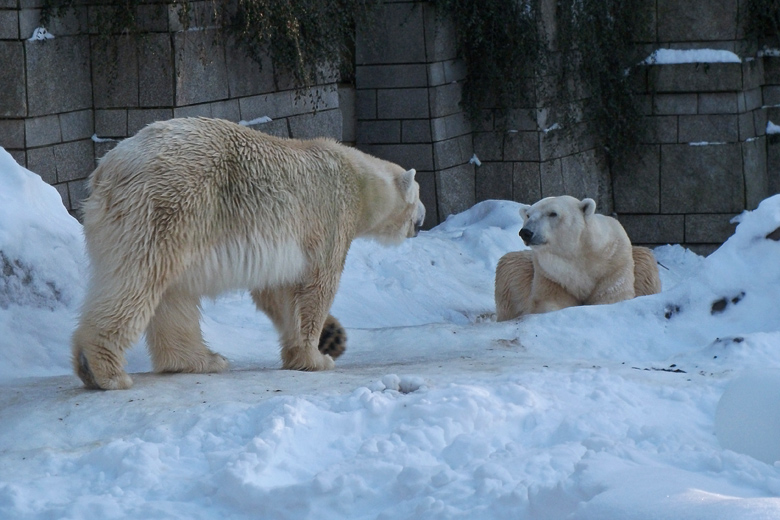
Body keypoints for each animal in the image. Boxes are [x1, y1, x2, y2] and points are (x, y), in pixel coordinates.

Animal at [73, 116, 426, 388]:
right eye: (420, 194)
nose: (422, 218)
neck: (358, 178)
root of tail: (107, 170)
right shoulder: (330, 217)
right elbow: (317, 285)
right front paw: (318, 356)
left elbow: (277, 292)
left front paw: (325, 340)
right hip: (167, 205)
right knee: (139, 278)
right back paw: (103, 371)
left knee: (172, 294)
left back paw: (203, 360)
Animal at [494, 194, 660, 320]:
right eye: (528, 215)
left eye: (553, 213)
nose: (526, 232)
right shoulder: (551, 275)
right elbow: (549, 301)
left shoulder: (613, 263)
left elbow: (610, 296)